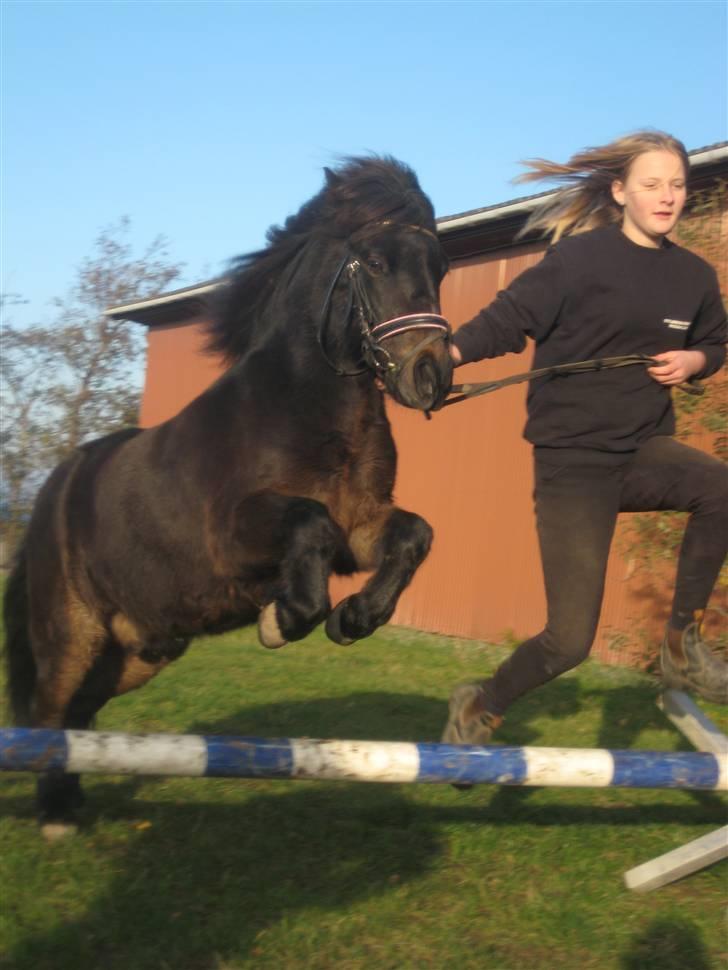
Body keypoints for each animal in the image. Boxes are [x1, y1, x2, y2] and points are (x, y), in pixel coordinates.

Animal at [2, 153, 452, 832]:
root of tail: (54, 490)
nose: (432, 375)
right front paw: (281, 620)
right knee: (51, 713)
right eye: (375, 262)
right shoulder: (237, 540)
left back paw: (73, 802)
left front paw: (352, 620)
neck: (311, 410)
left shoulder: (362, 529)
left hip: (137, 653)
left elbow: (413, 536)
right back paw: (55, 814)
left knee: (79, 714)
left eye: (441, 267)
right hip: (72, 635)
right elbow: (310, 528)